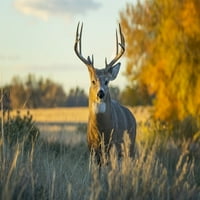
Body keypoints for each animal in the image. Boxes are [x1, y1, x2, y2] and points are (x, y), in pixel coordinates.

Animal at [74, 22, 137, 163]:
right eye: (93, 81)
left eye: (107, 81)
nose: (100, 93)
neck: (102, 132)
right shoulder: (92, 150)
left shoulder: (114, 146)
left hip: (130, 145)